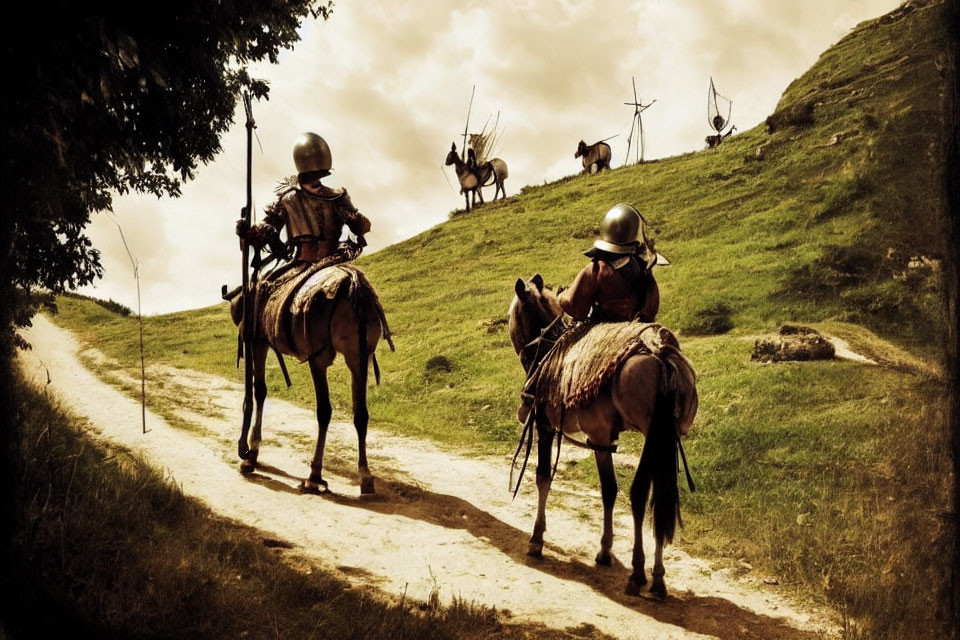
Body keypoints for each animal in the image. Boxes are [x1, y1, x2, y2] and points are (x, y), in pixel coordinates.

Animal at [231, 255, 392, 496]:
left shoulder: (258, 340)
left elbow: (259, 391)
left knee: (324, 411)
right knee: (361, 412)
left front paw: (251, 452)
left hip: (319, 357)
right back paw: (365, 475)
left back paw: (314, 474)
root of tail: (354, 285)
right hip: (358, 356)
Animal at [510, 272, 696, 596]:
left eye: (513, 312)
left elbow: (543, 477)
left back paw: (638, 573)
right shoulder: (601, 437)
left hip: (650, 434)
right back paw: (658, 578)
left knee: (640, 493)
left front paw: (536, 539)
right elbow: (608, 490)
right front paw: (605, 551)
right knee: (659, 496)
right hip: (663, 438)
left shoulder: (545, 424)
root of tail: (660, 353)